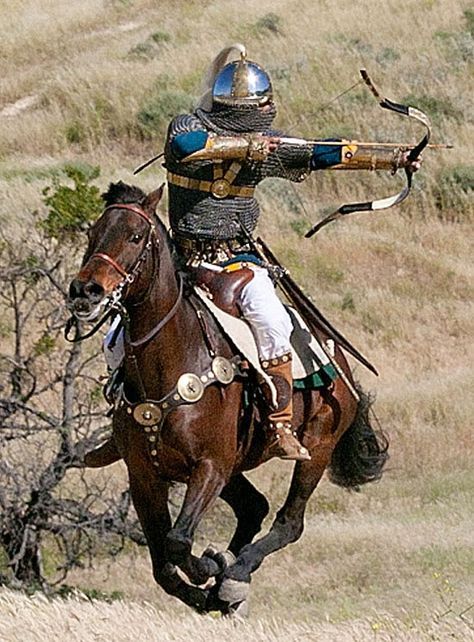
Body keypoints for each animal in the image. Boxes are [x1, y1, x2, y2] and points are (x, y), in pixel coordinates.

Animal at [66, 181, 386, 616]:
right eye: (92, 234)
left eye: (134, 236)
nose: (85, 291)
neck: (169, 362)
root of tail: (337, 358)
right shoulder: (145, 476)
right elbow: (163, 567)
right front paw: (206, 591)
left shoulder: (210, 467)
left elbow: (178, 543)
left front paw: (211, 568)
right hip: (237, 466)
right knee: (255, 509)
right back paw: (228, 584)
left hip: (316, 447)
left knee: (289, 521)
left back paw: (235, 575)